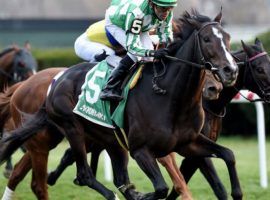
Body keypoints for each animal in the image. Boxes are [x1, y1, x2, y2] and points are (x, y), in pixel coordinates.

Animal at [0, 10, 238, 200]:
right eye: (206, 39)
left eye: (227, 38)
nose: (230, 71)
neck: (171, 97)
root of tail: (56, 80)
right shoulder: (141, 150)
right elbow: (161, 188)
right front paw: (142, 195)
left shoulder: (188, 142)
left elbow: (228, 154)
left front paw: (236, 192)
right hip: (71, 129)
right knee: (83, 175)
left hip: (111, 141)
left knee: (116, 178)